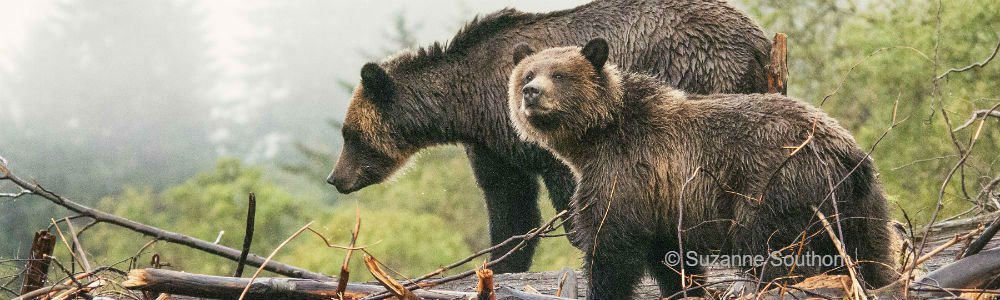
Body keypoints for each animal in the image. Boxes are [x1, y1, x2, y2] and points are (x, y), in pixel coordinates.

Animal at [328, 0, 772, 272]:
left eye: (349, 134)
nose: (336, 178)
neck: (468, 103)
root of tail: (759, 39)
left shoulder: (537, 131)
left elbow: (566, 188)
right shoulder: (494, 145)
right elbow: (510, 206)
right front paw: (500, 263)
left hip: (699, 73)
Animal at [508, 38, 900, 298]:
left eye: (560, 75)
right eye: (528, 73)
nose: (531, 92)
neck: (596, 135)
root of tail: (846, 151)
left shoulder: (625, 172)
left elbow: (611, 246)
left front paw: (603, 287)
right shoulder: (663, 200)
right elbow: (671, 260)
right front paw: (686, 288)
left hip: (775, 184)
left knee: (774, 249)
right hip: (861, 203)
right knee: (870, 252)